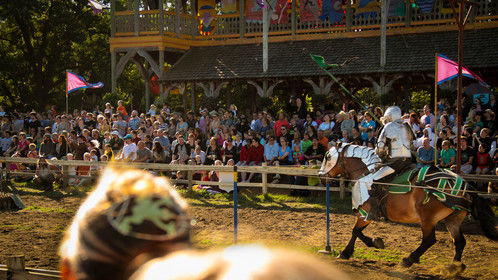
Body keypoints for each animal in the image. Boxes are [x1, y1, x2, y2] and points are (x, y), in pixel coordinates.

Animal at [320, 144, 498, 272]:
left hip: (427, 218)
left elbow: (355, 231)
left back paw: (409, 260)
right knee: (459, 242)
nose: (321, 177)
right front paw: (349, 251)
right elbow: (355, 231)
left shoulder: (366, 213)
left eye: (328, 157)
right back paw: (453, 267)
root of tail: (465, 186)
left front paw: (371, 244)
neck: (366, 174)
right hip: (452, 218)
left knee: (429, 240)